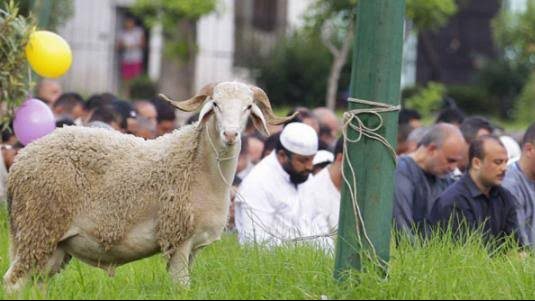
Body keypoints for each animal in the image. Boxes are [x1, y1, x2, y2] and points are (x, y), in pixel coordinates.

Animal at [2, 80, 294, 290]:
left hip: (52, 245)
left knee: (35, 284)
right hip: (38, 226)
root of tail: (21, 160)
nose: (230, 134)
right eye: (215, 104)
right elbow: (181, 288)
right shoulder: (177, 236)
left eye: (248, 107)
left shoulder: (193, 247)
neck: (199, 166)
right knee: (13, 283)